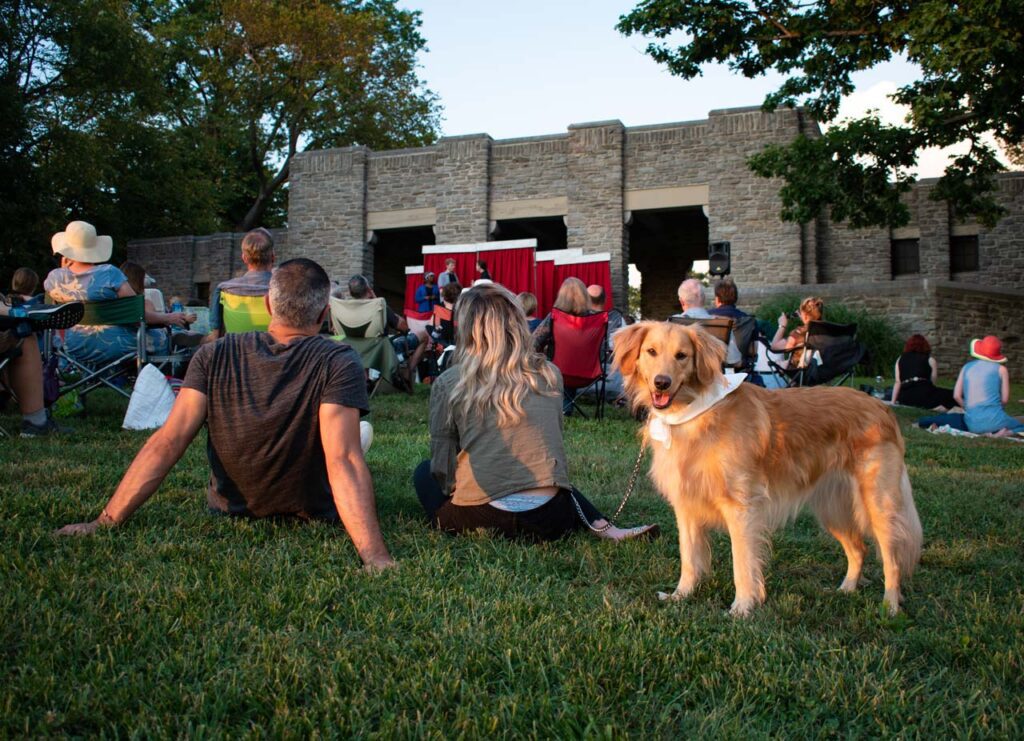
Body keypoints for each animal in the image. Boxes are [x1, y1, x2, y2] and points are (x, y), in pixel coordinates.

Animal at [610, 321, 925, 618]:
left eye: (682, 356)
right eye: (651, 352)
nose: (661, 383)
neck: (694, 414)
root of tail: (882, 408)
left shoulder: (741, 508)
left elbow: (742, 564)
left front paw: (742, 608)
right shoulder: (686, 507)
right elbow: (689, 559)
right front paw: (681, 596)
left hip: (878, 505)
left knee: (892, 560)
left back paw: (890, 607)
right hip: (833, 508)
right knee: (859, 549)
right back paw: (846, 590)